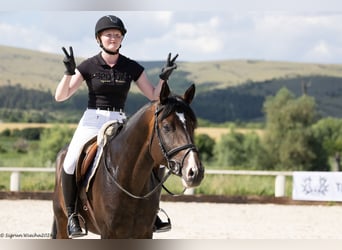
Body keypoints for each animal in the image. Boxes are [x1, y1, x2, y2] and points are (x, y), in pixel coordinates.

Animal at [52, 81, 204, 238]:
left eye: (193, 126)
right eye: (167, 127)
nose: (195, 172)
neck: (130, 181)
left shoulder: (145, 233)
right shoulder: (108, 233)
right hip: (62, 220)